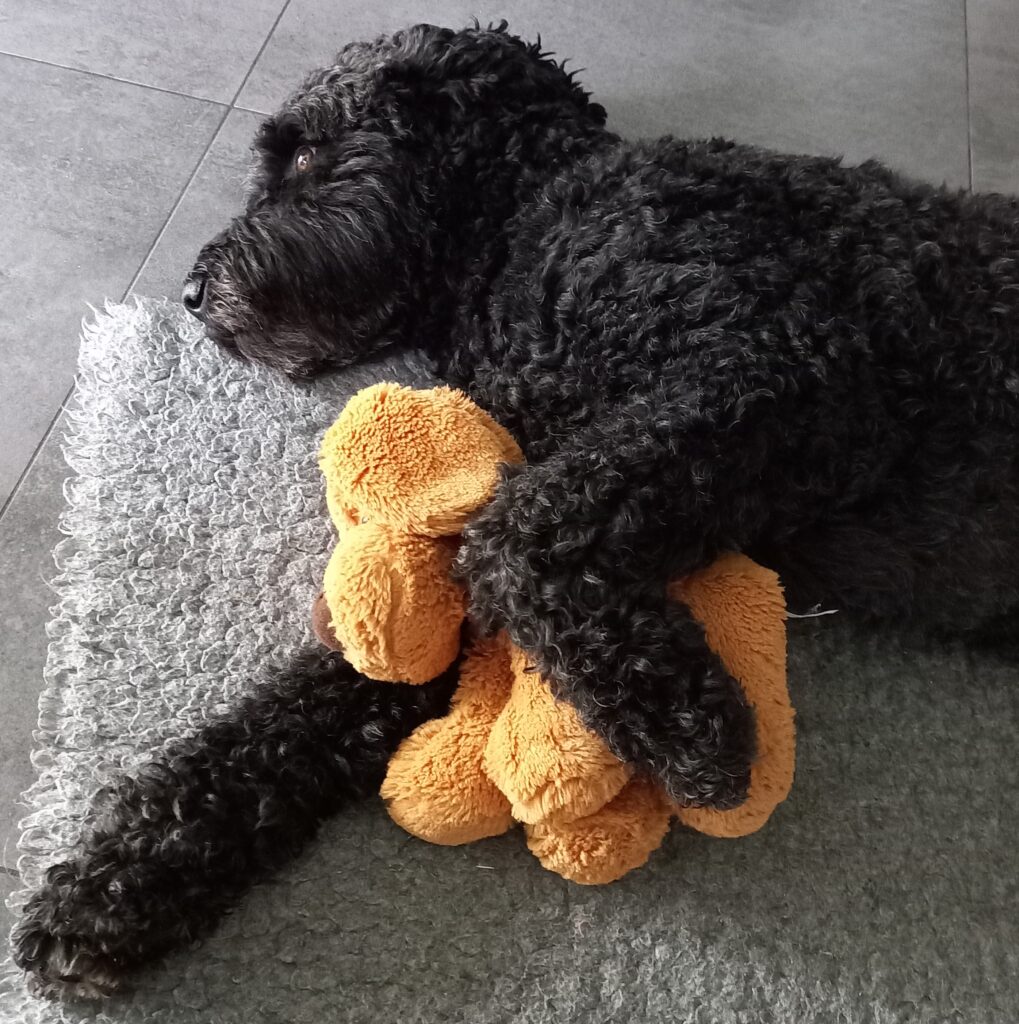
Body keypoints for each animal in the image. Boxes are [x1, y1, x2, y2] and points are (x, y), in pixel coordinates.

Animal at [14, 21, 1019, 998]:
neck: (528, 219)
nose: (192, 293)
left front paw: (694, 727)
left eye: (303, 158)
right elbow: (315, 702)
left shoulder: (777, 366)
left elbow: (518, 538)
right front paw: (121, 881)